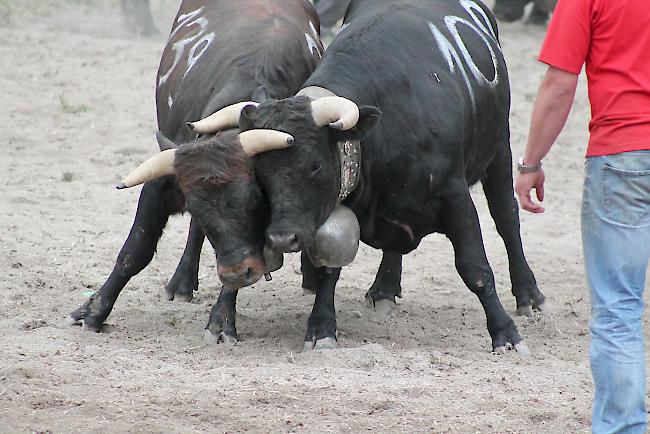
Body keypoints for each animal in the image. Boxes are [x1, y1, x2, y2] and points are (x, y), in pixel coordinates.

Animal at [63, 0, 322, 340]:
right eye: (196, 207)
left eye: (256, 201)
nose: (236, 272)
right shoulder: (161, 183)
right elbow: (135, 250)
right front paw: (94, 310)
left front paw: (223, 317)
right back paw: (182, 281)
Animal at [238, 0, 540, 352]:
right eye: (262, 172)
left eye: (314, 166)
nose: (282, 238)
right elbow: (328, 269)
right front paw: (321, 327)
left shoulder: (455, 196)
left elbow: (475, 268)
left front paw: (505, 333)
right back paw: (384, 286)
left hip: (499, 150)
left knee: (506, 217)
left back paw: (528, 293)